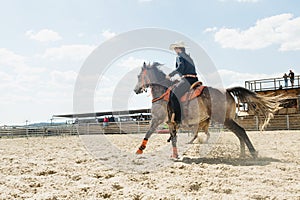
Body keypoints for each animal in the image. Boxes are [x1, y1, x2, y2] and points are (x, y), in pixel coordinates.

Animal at [134, 61, 282, 159]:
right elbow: (173, 138)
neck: (164, 92)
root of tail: (227, 90)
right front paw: (175, 155)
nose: (135, 90)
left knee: (241, 131)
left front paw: (140, 150)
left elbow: (148, 133)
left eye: (139, 76)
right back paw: (242, 154)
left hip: (225, 120)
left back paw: (251, 153)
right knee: (239, 133)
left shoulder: (158, 119)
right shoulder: (170, 123)